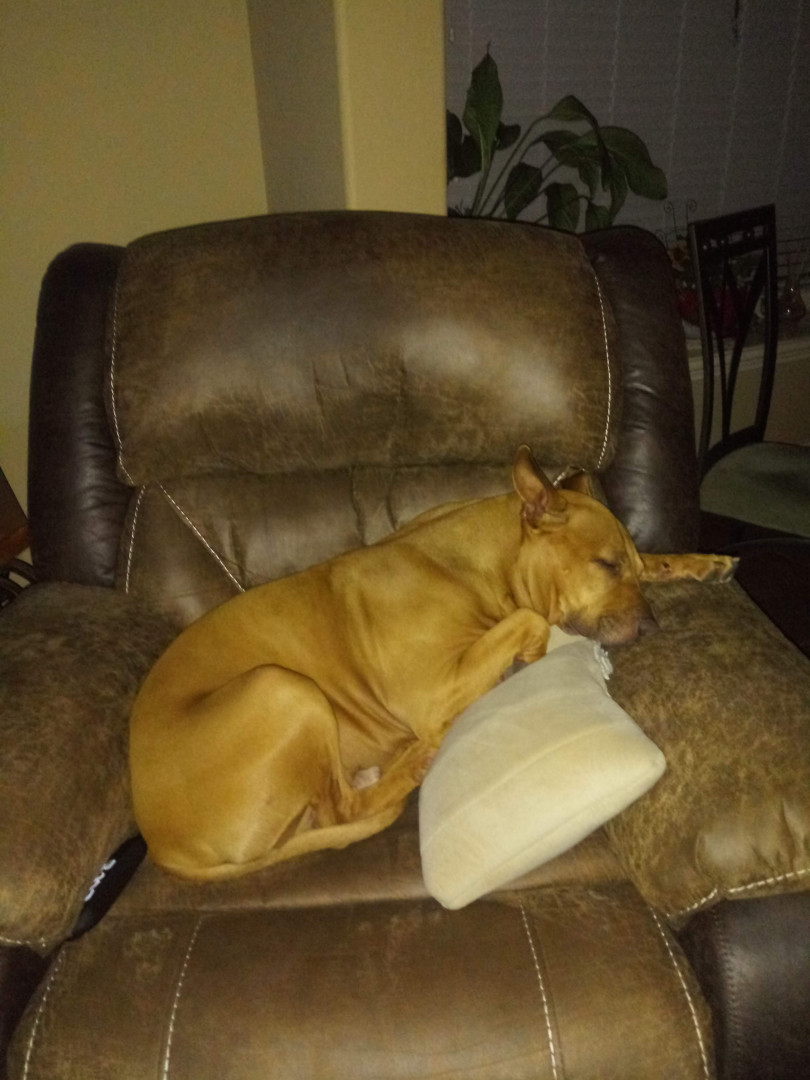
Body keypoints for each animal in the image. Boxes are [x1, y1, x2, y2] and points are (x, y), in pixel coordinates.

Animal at [129, 446, 737, 881]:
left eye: (624, 563)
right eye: (605, 565)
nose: (653, 628)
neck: (478, 563)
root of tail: (160, 845)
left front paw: (701, 562)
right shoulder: (433, 687)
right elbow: (529, 622)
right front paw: (526, 653)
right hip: (282, 691)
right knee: (340, 810)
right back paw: (414, 762)